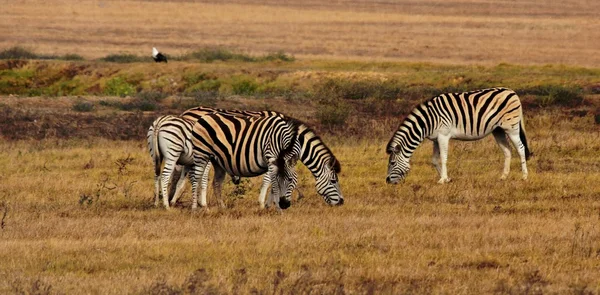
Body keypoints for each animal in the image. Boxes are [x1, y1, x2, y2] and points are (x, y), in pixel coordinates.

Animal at [180, 107, 344, 207]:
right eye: (333, 181)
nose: (342, 202)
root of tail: (186, 112)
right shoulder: (271, 155)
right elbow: (269, 180)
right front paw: (264, 203)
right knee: (200, 175)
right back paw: (201, 203)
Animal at [384, 86, 528, 185]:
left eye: (392, 163)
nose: (387, 181)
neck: (428, 122)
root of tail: (511, 91)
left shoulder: (443, 135)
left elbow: (443, 158)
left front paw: (442, 180)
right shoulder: (436, 139)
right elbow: (434, 160)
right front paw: (447, 178)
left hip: (512, 127)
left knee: (520, 148)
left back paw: (524, 176)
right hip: (498, 130)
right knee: (507, 150)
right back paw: (504, 176)